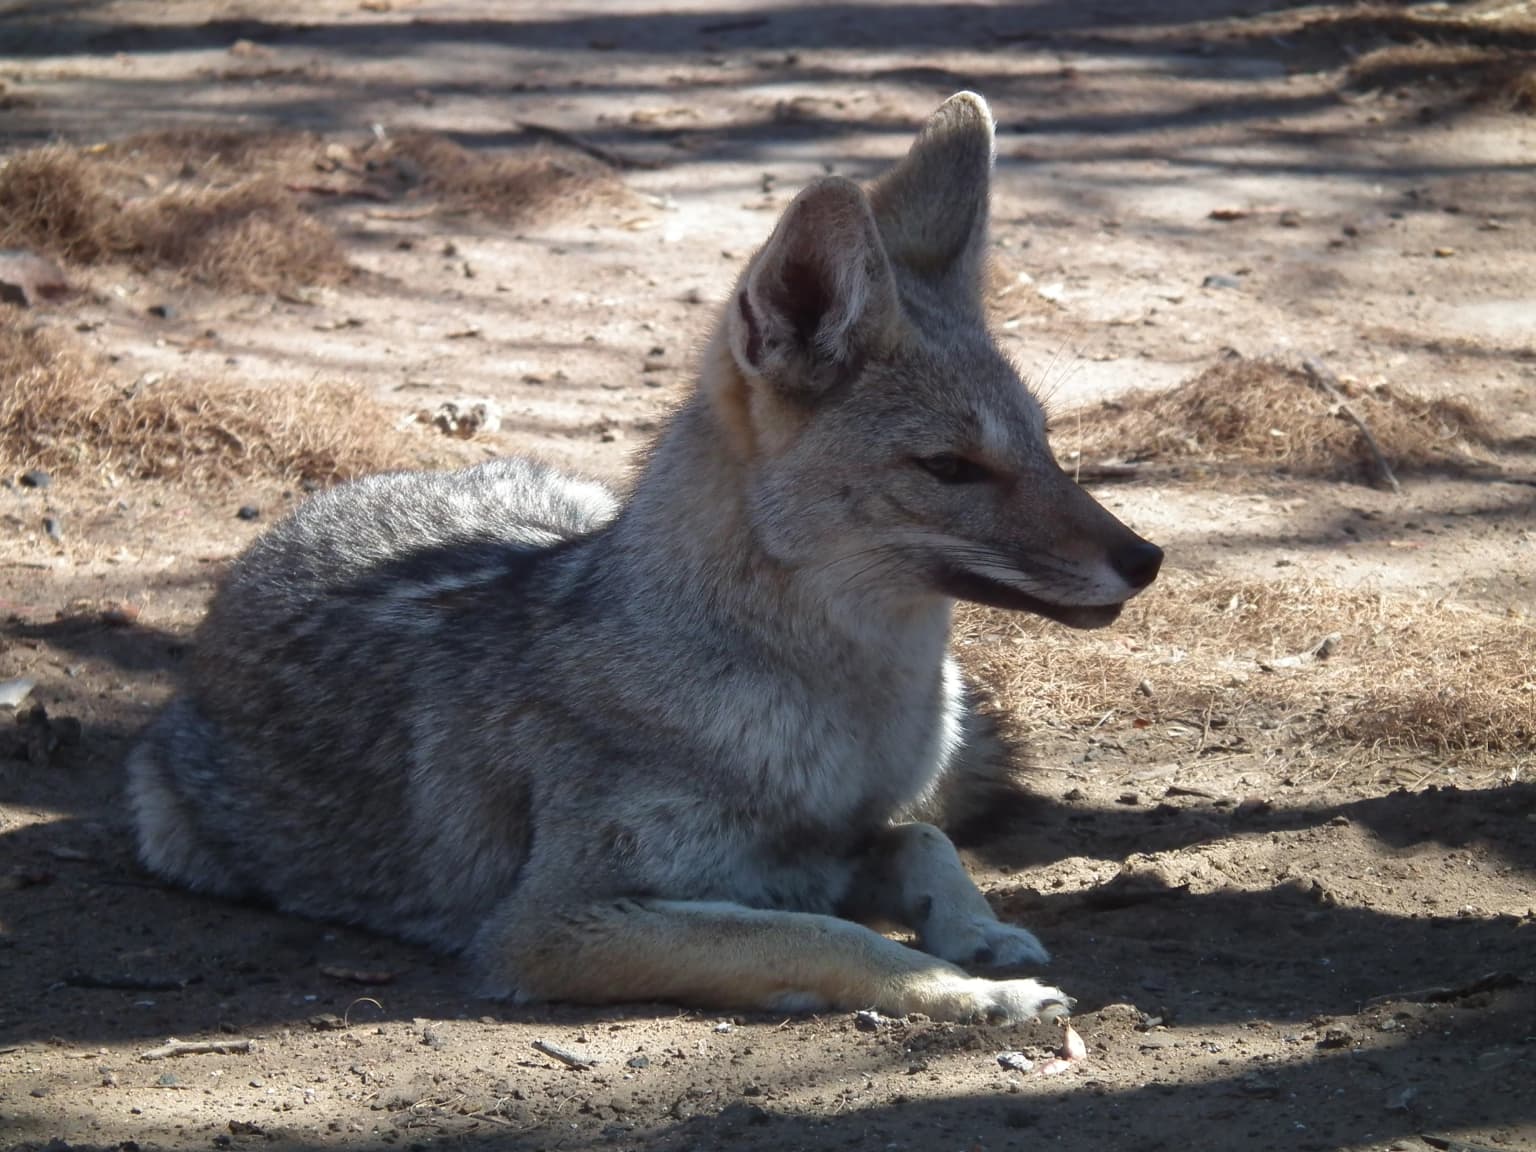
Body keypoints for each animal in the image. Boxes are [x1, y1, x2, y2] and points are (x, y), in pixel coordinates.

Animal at [126, 92, 1161, 1025]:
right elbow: (817, 936)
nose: (1147, 557)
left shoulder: (836, 842)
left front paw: (981, 934)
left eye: (1044, 447)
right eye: (951, 468)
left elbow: (923, 845)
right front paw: (970, 991)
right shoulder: (549, 925)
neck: (840, 720)